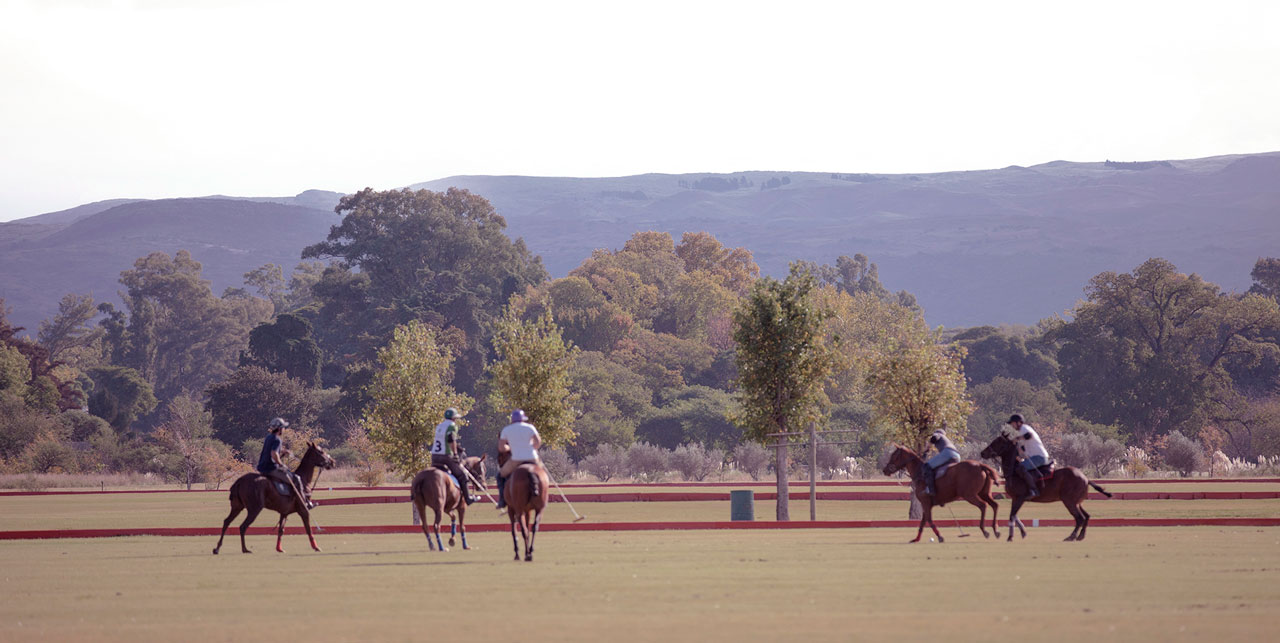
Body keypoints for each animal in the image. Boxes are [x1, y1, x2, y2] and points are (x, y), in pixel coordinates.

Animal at [977, 432, 1111, 543]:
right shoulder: (1015, 498)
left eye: (998, 441)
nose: (982, 453)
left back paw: (1071, 537)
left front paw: (1011, 536)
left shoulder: (1020, 497)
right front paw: (1021, 533)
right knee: (1086, 516)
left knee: (1080, 518)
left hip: (1069, 501)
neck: (1013, 471)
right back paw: (1080, 536)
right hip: (1077, 501)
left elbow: (1012, 515)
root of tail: (1086, 478)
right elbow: (1013, 515)